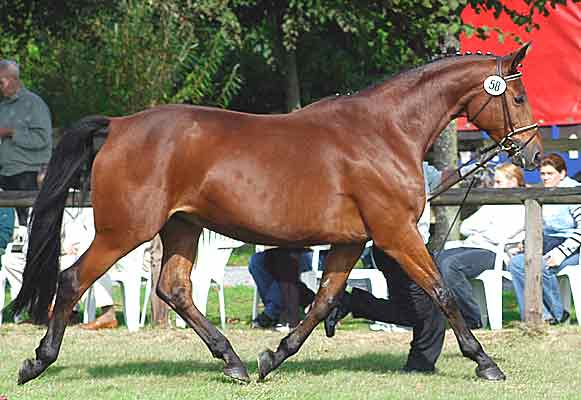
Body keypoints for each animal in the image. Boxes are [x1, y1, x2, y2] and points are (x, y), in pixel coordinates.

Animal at [11, 43, 540, 384]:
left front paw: (273, 357)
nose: (533, 152)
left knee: (174, 289)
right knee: (72, 280)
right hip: (125, 230)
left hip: (182, 226)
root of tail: (118, 126)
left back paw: (234, 362)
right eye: (516, 96)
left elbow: (323, 301)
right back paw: (37, 362)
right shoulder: (394, 233)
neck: (386, 132)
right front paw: (485, 362)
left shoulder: (351, 240)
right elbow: (442, 293)